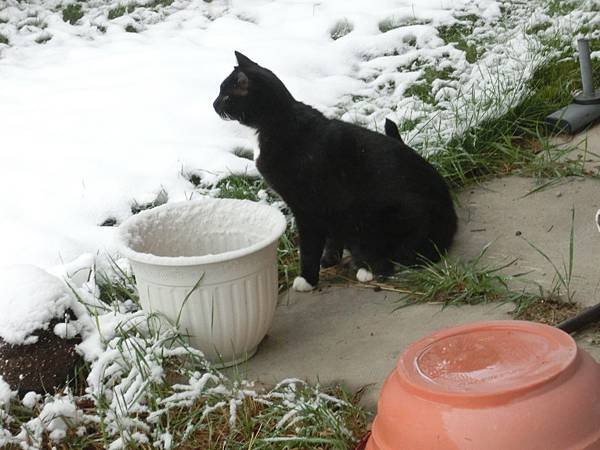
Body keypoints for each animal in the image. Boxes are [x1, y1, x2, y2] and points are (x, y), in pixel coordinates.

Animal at [213, 51, 458, 292]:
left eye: (226, 96)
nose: (214, 105)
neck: (278, 120)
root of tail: (450, 220)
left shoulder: (307, 207)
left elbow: (309, 247)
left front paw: (307, 279)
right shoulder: (331, 207)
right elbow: (332, 235)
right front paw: (330, 258)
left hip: (384, 215)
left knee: (404, 257)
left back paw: (368, 267)